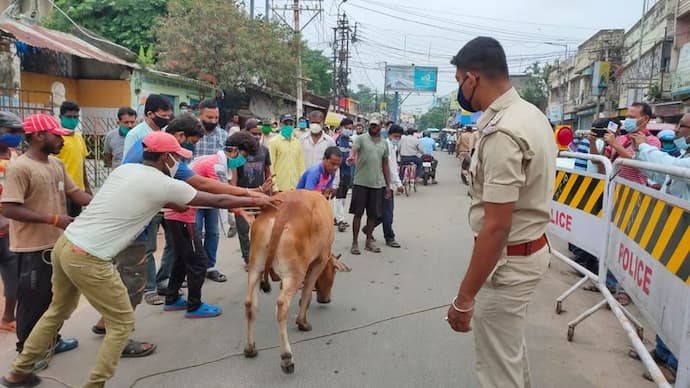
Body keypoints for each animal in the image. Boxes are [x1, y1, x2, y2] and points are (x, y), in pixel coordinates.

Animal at [243, 189, 350, 374]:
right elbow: (307, 292)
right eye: (333, 272)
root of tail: (280, 215)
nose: (326, 299)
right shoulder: (319, 260)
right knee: (281, 306)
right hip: (293, 274)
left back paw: (250, 348)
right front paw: (302, 322)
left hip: (255, 268)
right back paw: (287, 358)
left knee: (250, 304)